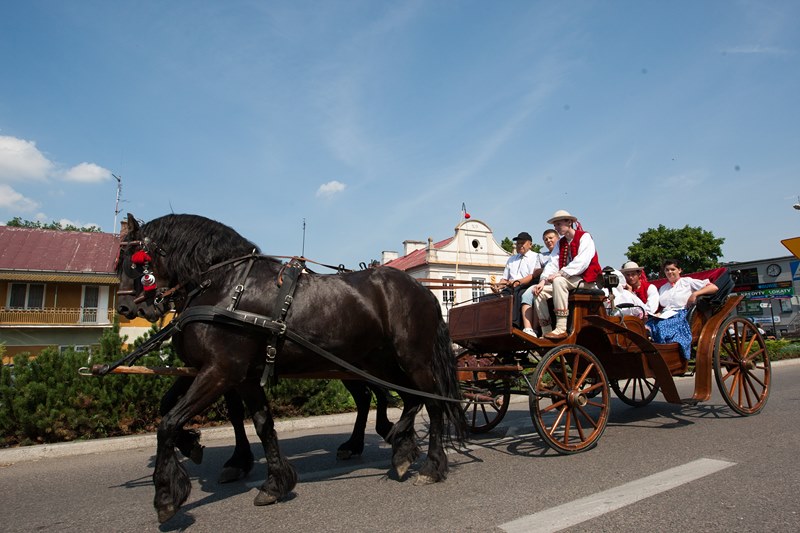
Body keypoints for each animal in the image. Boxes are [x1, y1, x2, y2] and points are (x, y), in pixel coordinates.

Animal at [116, 213, 466, 523]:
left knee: (433, 404)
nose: (125, 308)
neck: (227, 287)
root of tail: (425, 290)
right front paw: (272, 481)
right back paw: (399, 448)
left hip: (413, 361)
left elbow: (168, 423)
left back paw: (430, 464)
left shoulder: (220, 371)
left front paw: (166, 495)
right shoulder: (237, 376)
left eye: (133, 262)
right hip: (379, 364)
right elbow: (260, 424)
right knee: (403, 399)